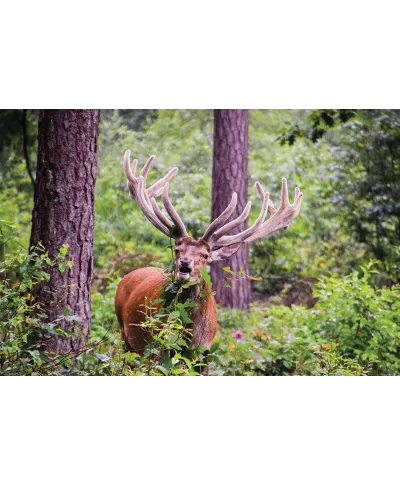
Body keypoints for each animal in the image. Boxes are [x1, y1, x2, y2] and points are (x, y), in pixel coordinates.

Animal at [114, 148, 302, 366]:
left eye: (205, 255)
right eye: (177, 249)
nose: (184, 264)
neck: (190, 336)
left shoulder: (204, 352)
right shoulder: (157, 347)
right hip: (125, 334)